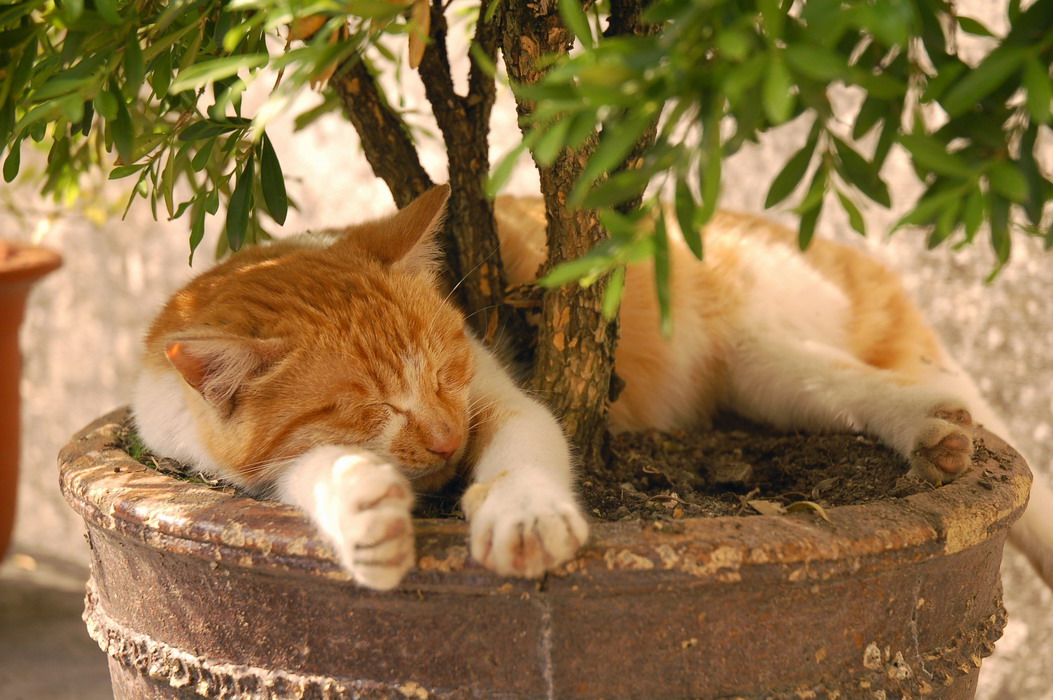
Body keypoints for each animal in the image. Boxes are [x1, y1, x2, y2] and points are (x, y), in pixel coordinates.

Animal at [135, 184, 1053, 589]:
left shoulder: (502, 398)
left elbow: (521, 457)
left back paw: (930, 426)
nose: (445, 440)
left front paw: (524, 517)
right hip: (765, 381)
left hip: (769, 348)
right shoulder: (255, 468)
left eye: (448, 370)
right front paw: (367, 510)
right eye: (372, 411)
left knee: (872, 386)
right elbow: (320, 471)